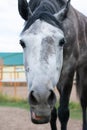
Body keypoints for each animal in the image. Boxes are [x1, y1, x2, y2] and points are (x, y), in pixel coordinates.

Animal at [17, 0, 87, 130]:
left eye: (62, 41)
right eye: (22, 42)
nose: (40, 97)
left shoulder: (68, 73)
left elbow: (63, 113)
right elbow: (53, 114)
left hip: (83, 69)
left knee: (84, 101)